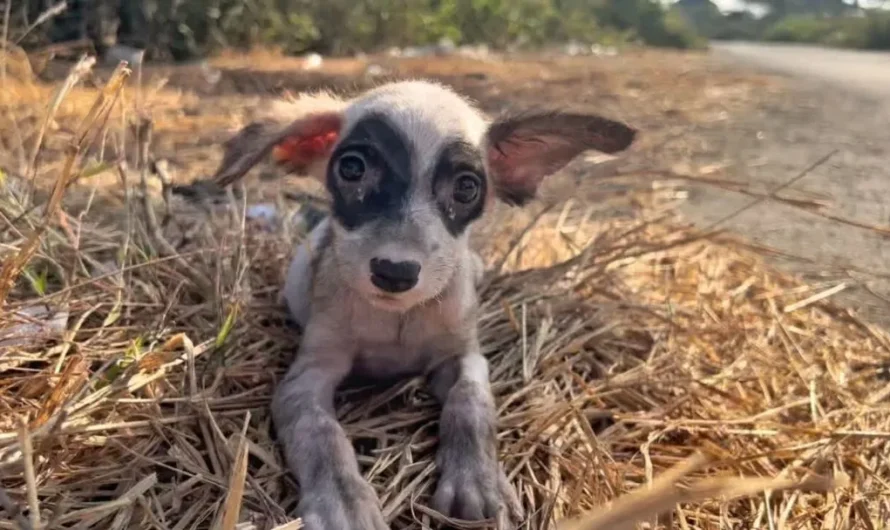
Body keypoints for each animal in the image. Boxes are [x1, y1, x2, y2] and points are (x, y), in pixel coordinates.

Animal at [212, 80, 636, 524]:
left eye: (466, 187)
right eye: (352, 168)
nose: (394, 272)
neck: (397, 320)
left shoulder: (465, 356)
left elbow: (470, 403)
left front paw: (477, 479)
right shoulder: (305, 378)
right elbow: (320, 433)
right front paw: (343, 499)